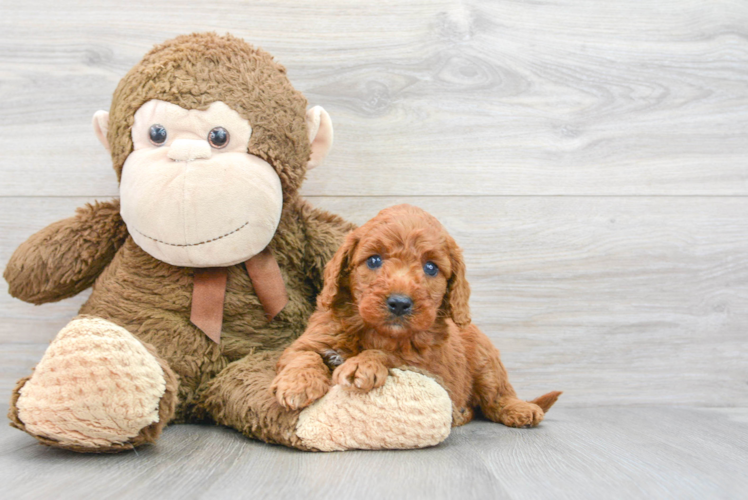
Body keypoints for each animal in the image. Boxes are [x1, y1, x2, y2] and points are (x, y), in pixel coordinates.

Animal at [272, 203, 560, 426]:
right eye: (374, 260)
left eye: (431, 267)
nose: (399, 303)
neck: (375, 331)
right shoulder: (313, 339)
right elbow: (303, 355)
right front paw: (297, 384)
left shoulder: (426, 365)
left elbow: (390, 355)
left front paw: (361, 364)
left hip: (486, 363)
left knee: (496, 396)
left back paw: (521, 410)